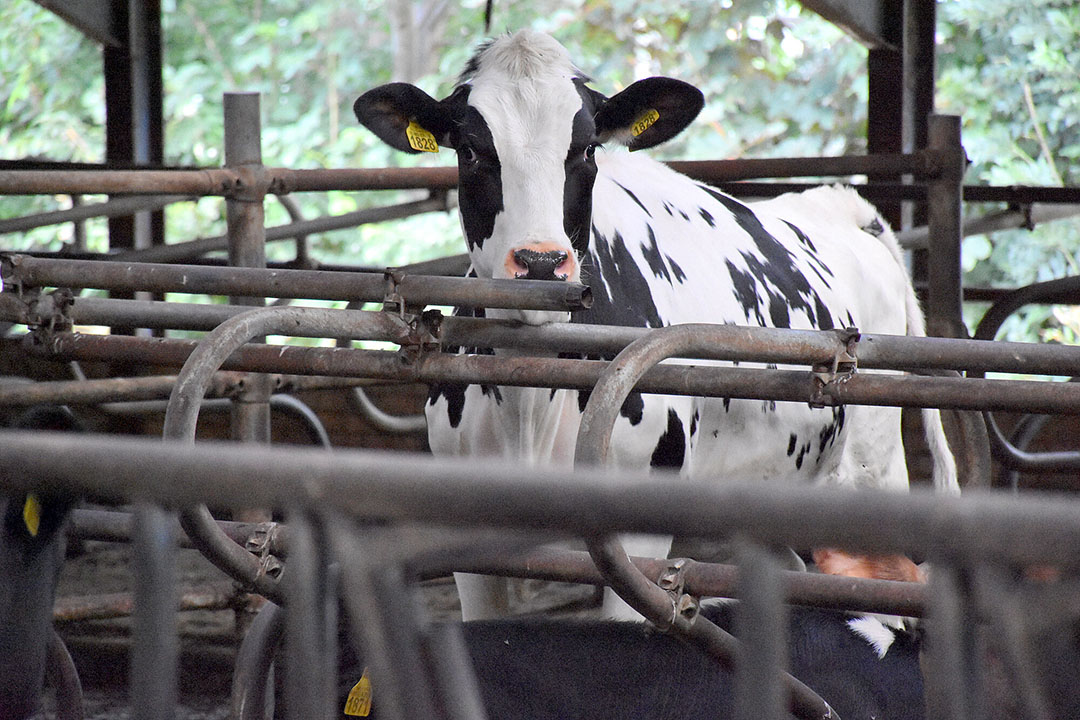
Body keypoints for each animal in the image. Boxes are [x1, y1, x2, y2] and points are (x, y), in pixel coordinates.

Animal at [354, 29, 954, 621]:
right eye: (471, 150)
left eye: (587, 148)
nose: (542, 263)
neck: (528, 409)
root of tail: (845, 206)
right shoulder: (470, 552)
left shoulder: (640, 539)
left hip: (873, 480)